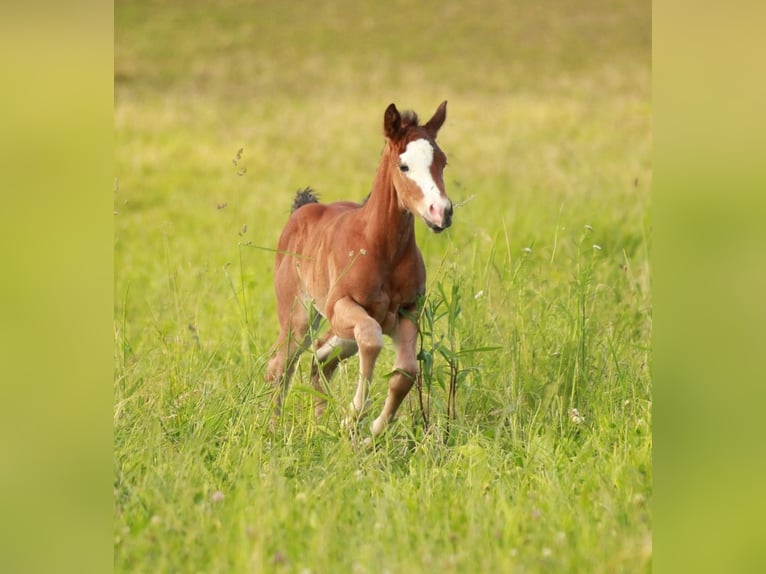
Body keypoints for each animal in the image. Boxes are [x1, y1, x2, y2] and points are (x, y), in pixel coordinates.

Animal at [266, 101, 453, 437]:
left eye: (442, 162)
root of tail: (302, 209)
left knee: (321, 357)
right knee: (281, 364)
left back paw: (319, 425)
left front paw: (372, 432)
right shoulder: (343, 306)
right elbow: (371, 338)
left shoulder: (408, 313)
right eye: (404, 166)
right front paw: (354, 413)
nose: (441, 212)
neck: (381, 249)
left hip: (338, 333)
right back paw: (274, 429)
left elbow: (406, 372)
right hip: (298, 317)